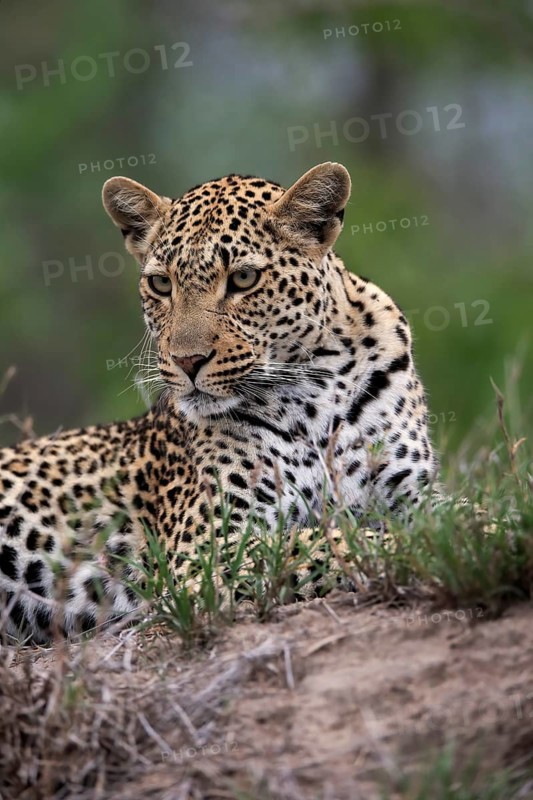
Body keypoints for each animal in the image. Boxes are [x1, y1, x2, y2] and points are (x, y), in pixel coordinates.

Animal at [0, 162, 439, 643]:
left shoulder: (414, 492)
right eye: (161, 284)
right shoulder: (207, 548)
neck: (317, 389)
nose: (187, 360)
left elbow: (446, 514)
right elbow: (325, 541)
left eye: (243, 279)